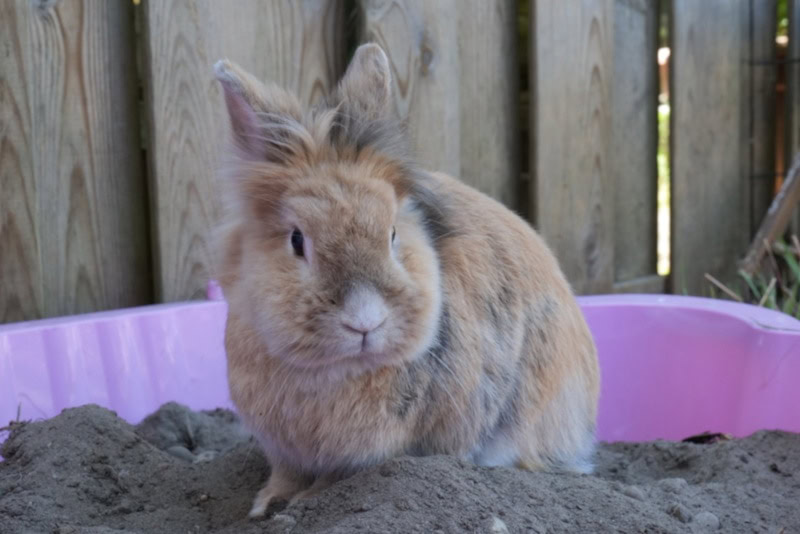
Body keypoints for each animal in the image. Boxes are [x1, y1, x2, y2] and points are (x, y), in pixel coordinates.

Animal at [212, 43, 600, 518]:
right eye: (297, 240)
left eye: (393, 233)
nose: (364, 321)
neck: (330, 371)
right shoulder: (284, 448)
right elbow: (285, 474)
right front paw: (267, 505)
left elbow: (333, 479)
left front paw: (305, 503)